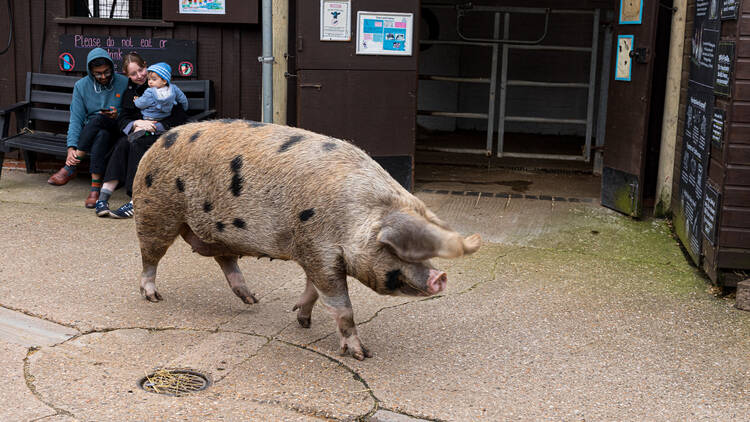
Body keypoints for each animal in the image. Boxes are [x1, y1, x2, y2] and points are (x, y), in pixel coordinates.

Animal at [132, 119, 484, 360]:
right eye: (399, 251)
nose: (440, 276)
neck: (354, 215)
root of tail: (157, 141)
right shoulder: (318, 248)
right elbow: (341, 305)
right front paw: (362, 355)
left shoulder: (315, 252)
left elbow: (313, 290)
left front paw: (302, 320)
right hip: (155, 211)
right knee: (150, 257)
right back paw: (153, 297)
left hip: (217, 232)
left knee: (225, 258)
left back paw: (252, 300)